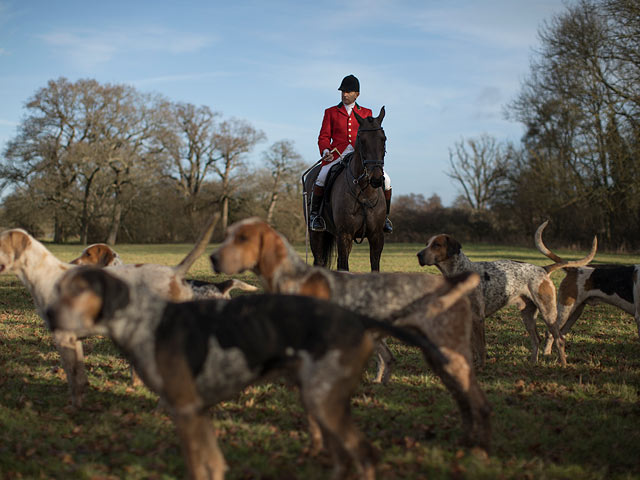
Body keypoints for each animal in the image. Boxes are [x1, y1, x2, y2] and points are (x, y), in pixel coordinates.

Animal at [304, 106, 388, 270]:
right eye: (361, 140)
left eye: (383, 139)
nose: (376, 178)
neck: (365, 192)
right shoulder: (345, 235)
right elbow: (344, 268)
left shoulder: (377, 237)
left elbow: (374, 268)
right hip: (315, 234)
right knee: (319, 261)